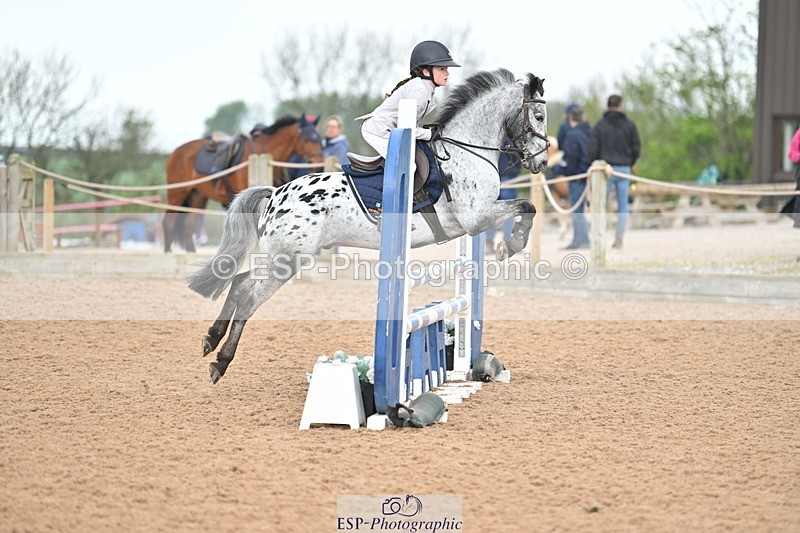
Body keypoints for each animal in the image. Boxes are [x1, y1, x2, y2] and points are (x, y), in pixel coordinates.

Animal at [162, 114, 324, 252]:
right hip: (177, 193)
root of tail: (175, 152)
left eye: (319, 139)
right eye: (306, 138)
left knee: (188, 226)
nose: (319, 164)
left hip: (197, 196)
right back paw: (168, 252)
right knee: (169, 221)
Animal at [187, 69, 549, 384]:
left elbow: (525, 207)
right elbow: (526, 207)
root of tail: (275, 194)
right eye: (539, 117)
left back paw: (211, 339)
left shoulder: (477, 220)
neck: (466, 152)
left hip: (280, 258)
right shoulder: (477, 218)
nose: (542, 161)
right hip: (286, 261)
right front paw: (511, 245)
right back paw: (220, 362)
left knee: (239, 281)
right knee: (249, 296)